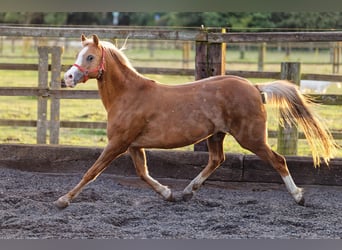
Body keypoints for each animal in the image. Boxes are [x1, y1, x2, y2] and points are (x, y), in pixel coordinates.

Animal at [54, 34, 338, 208]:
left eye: (90, 57)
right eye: (79, 55)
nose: (67, 78)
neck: (128, 95)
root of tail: (255, 87)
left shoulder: (118, 143)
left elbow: (91, 171)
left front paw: (63, 200)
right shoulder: (134, 145)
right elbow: (143, 174)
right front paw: (168, 193)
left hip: (251, 138)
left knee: (278, 160)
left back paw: (298, 196)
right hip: (217, 135)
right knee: (216, 159)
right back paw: (188, 190)